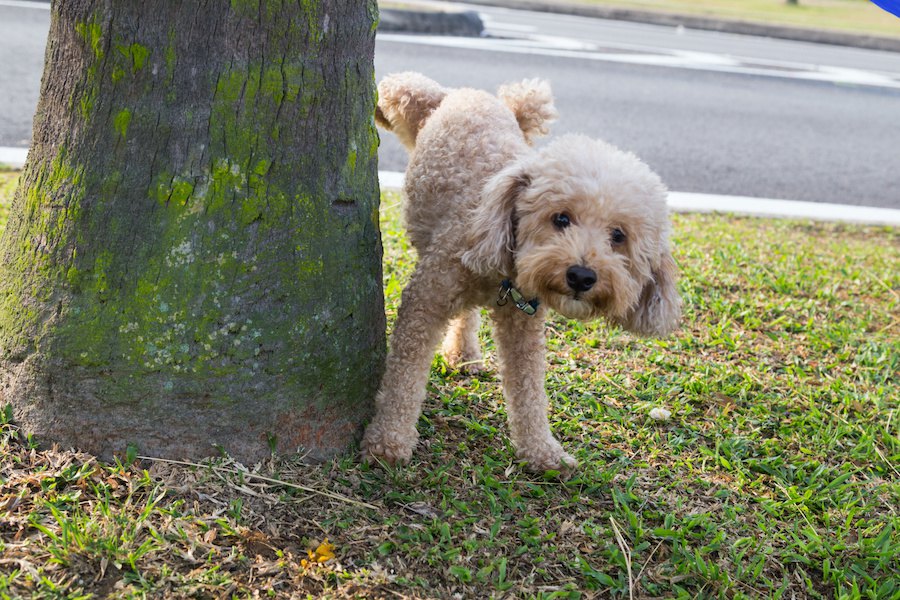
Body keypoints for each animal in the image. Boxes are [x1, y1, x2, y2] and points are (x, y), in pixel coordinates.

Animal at [362, 72, 680, 472]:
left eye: (618, 236)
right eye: (561, 218)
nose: (581, 276)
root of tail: (471, 95)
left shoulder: (523, 323)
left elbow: (529, 389)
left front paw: (542, 450)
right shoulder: (425, 300)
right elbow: (404, 376)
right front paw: (388, 440)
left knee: (467, 316)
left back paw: (464, 354)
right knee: (401, 85)